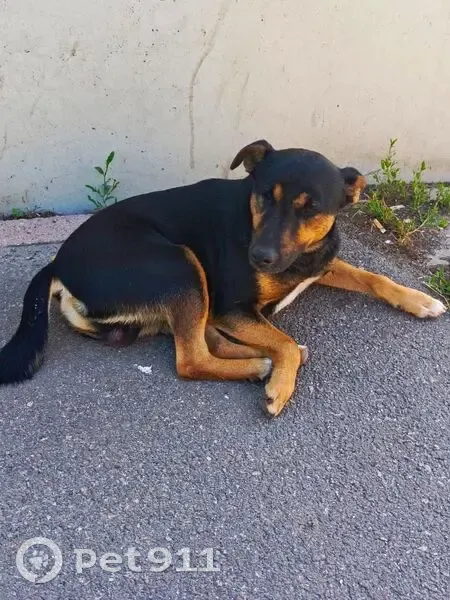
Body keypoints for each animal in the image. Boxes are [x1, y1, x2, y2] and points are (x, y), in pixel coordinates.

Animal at [0, 140, 446, 415]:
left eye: (311, 208)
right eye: (265, 195)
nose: (259, 257)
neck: (298, 258)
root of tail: (58, 264)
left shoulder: (318, 264)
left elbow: (373, 277)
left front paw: (419, 299)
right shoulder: (234, 307)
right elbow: (282, 340)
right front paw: (282, 384)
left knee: (205, 340)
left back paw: (260, 360)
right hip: (180, 265)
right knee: (192, 359)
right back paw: (260, 367)